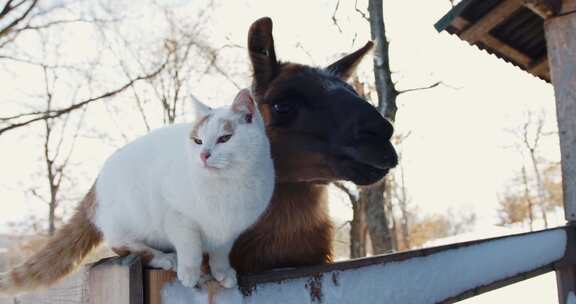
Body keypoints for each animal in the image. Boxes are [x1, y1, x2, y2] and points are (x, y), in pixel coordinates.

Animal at [94, 88, 274, 288]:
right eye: (198, 141)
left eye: (224, 138)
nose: (204, 155)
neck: (226, 183)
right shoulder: (177, 216)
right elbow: (190, 247)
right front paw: (190, 272)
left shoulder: (229, 229)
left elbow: (221, 252)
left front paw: (222, 271)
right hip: (131, 214)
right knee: (121, 245)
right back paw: (165, 258)